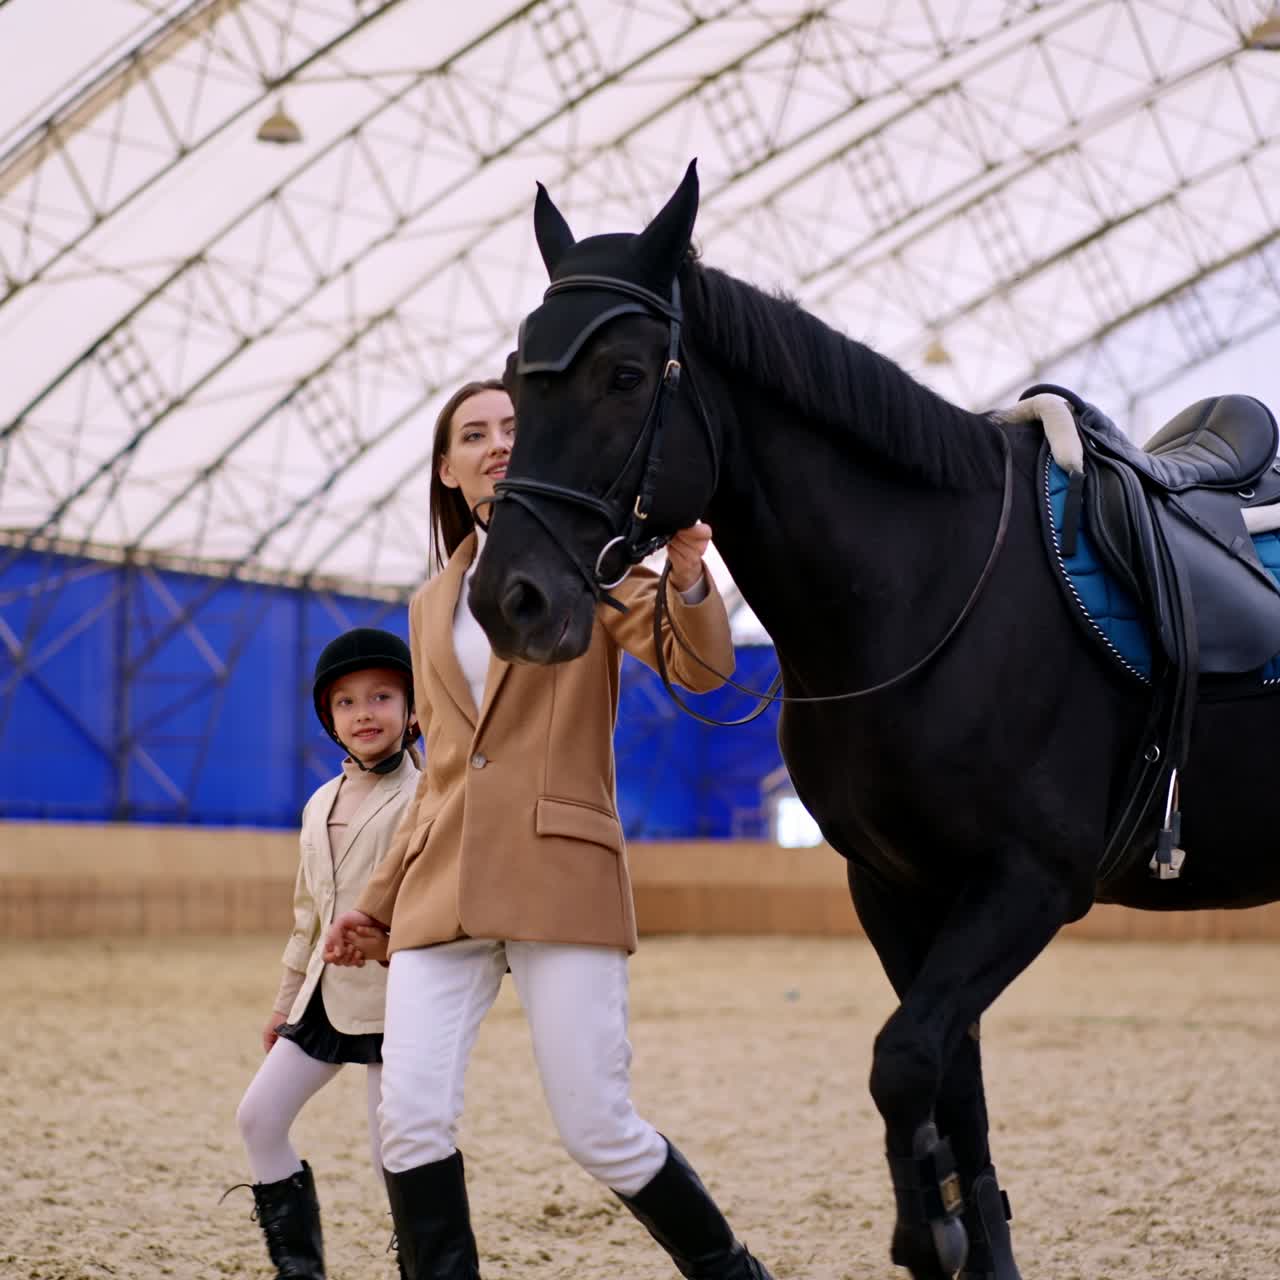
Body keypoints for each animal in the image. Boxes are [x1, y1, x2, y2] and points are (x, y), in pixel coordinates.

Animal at [466, 161, 1280, 1280]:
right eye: (515, 376)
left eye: (626, 376)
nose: (509, 598)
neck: (928, 589)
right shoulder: (897, 885)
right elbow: (951, 1079)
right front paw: (966, 1238)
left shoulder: (1030, 881)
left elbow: (902, 1060)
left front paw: (926, 1232)